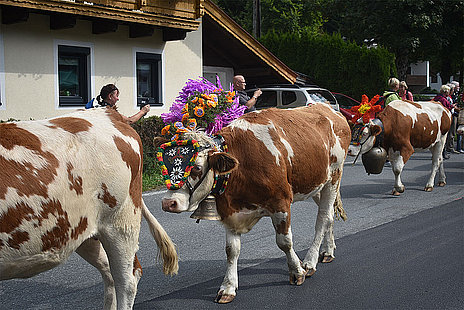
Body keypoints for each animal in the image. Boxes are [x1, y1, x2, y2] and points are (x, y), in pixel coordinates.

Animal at [156, 103, 352, 302]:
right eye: (164, 166)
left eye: (195, 168)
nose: (168, 203)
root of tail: (327, 107)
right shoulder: (230, 211)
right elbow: (231, 250)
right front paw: (228, 287)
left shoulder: (281, 202)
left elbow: (284, 241)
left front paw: (297, 272)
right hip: (316, 183)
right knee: (329, 215)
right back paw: (328, 250)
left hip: (334, 177)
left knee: (324, 218)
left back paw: (310, 262)